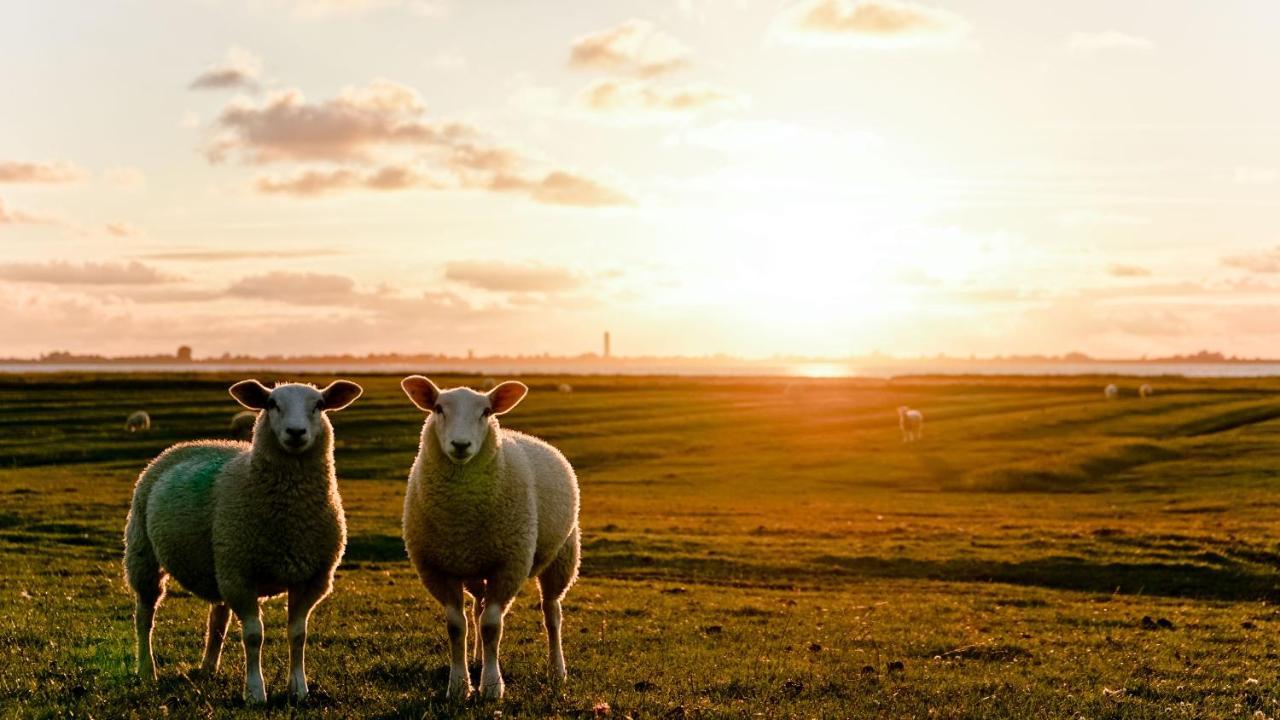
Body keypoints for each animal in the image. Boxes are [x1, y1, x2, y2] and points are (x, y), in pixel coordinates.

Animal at [123, 379, 360, 702]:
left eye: (319, 405)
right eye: (271, 404)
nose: (296, 432)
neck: (291, 515)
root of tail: (187, 444)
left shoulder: (311, 579)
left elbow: (298, 634)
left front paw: (299, 688)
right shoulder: (240, 577)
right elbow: (253, 635)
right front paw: (255, 692)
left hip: (219, 563)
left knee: (216, 620)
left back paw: (209, 668)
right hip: (144, 554)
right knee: (144, 617)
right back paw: (147, 671)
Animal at [401, 371, 583, 696]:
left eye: (486, 412)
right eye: (438, 408)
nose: (461, 444)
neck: (461, 520)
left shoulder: (508, 565)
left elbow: (491, 626)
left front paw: (491, 687)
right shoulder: (437, 568)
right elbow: (456, 626)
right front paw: (459, 686)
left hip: (562, 557)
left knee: (552, 613)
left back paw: (556, 670)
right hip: (475, 568)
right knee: (477, 609)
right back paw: (476, 659)